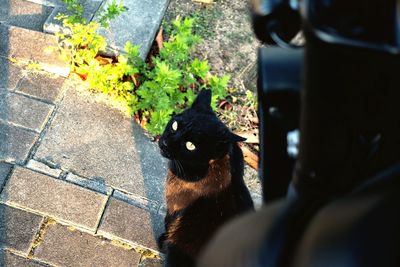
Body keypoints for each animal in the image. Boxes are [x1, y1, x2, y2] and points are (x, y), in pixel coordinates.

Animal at [159, 90, 255, 267]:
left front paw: (162, 241)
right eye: (175, 125)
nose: (165, 143)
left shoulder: (174, 208)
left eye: (190, 145)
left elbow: (168, 224)